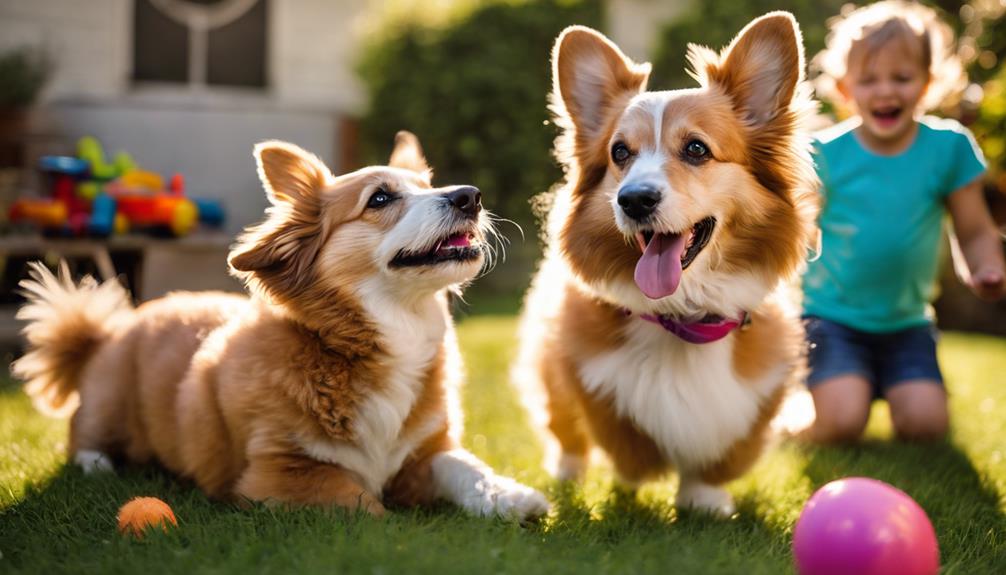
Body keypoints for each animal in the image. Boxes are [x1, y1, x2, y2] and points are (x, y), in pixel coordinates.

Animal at [13, 131, 551, 522]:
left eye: (430, 187)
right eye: (379, 198)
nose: (470, 196)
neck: (379, 339)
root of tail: (110, 329)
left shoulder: (423, 453)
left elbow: (463, 465)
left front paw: (510, 496)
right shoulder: (279, 474)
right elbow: (361, 501)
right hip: (108, 403)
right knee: (83, 436)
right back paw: (97, 464)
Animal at [511, 11, 816, 514]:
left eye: (696, 149)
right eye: (620, 152)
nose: (633, 199)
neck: (682, 314)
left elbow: (720, 456)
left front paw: (703, 498)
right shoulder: (582, 368)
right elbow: (623, 437)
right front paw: (637, 472)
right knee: (566, 431)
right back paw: (567, 471)